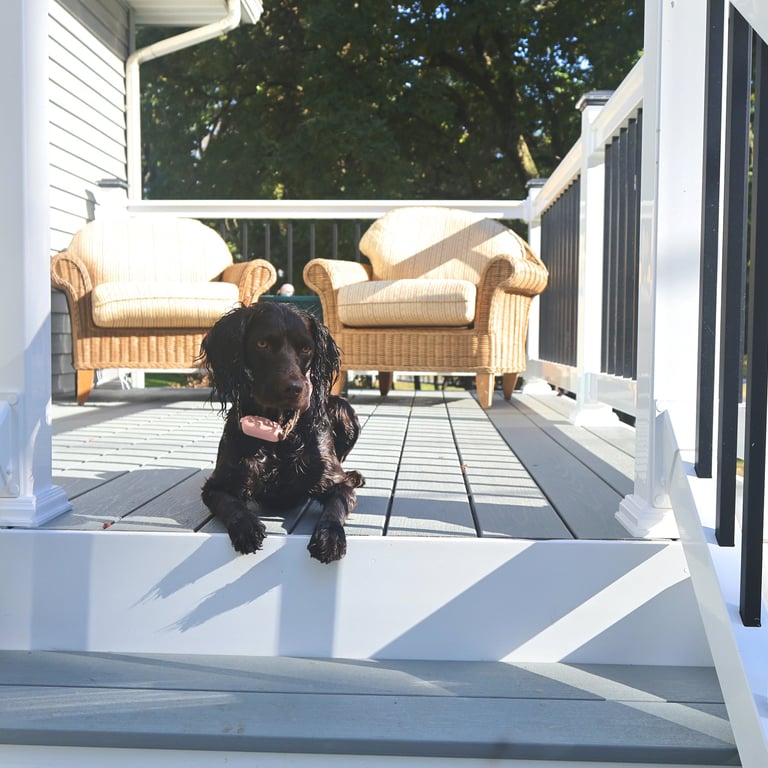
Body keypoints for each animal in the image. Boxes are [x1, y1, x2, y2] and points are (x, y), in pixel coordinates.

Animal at [200, 302, 364, 563]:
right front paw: (246, 527)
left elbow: (335, 506)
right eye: (262, 344)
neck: (274, 433)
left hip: (344, 411)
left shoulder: (335, 483)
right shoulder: (216, 486)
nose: (294, 389)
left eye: (306, 348)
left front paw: (330, 537)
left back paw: (354, 475)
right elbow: (230, 504)